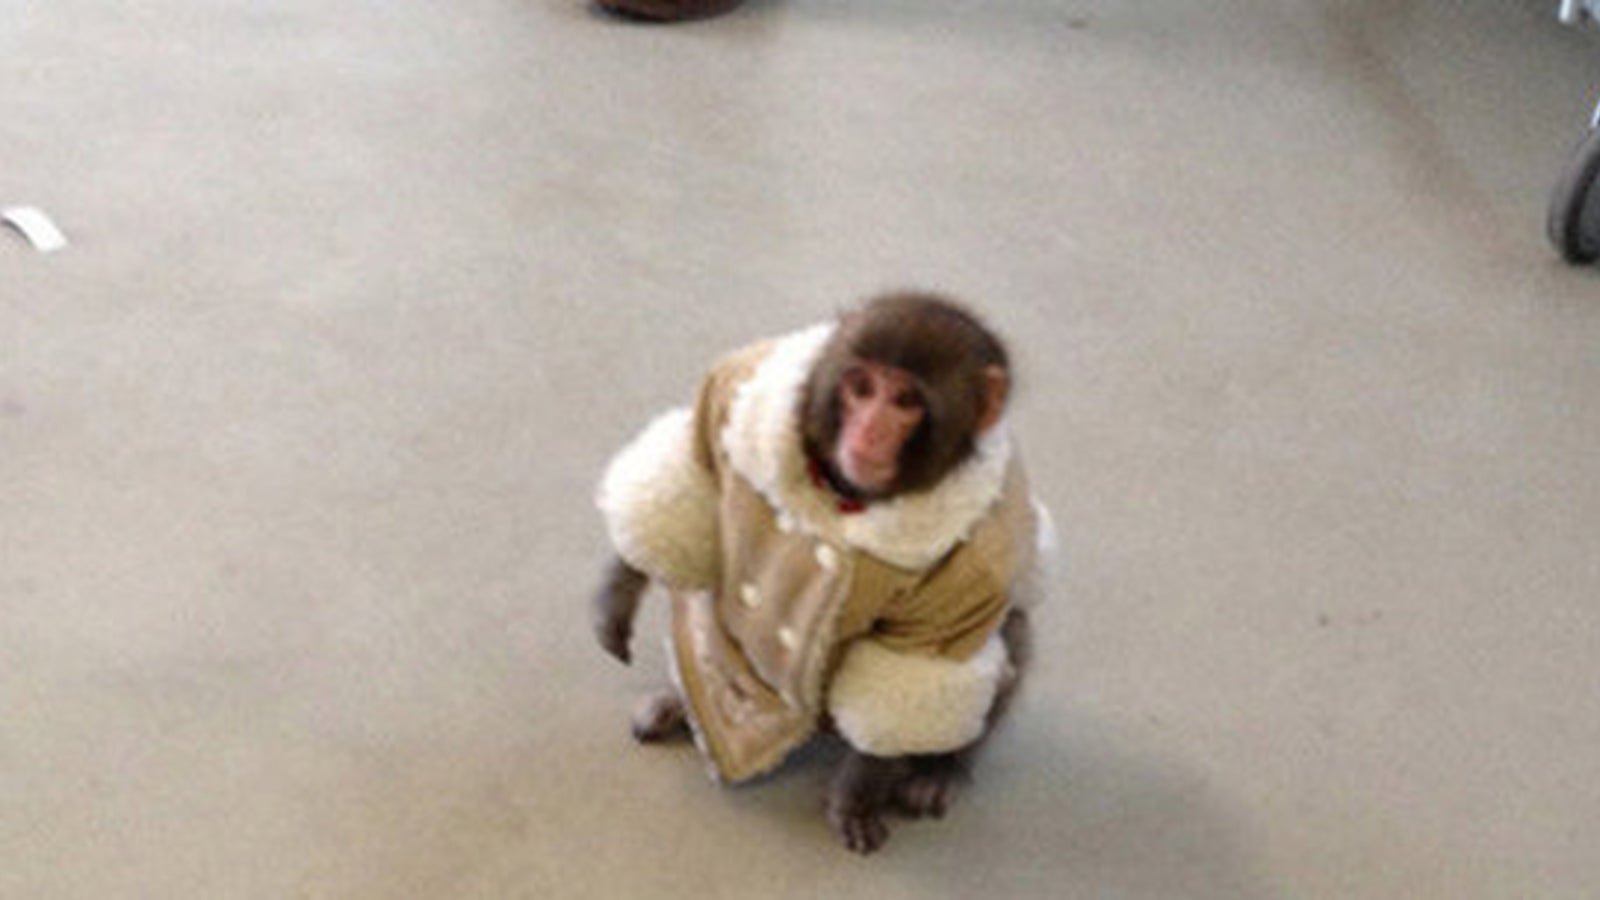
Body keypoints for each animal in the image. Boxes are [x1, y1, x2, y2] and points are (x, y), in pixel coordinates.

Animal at [593, 292, 1052, 854]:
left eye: (906, 400)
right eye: (862, 388)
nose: (868, 431)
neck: (842, 495)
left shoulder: (975, 572)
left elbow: (904, 679)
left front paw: (855, 799)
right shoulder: (730, 389)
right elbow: (692, 477)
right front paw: (617, 592)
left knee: (1005, 651)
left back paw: (938, 769)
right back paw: (682, 703)